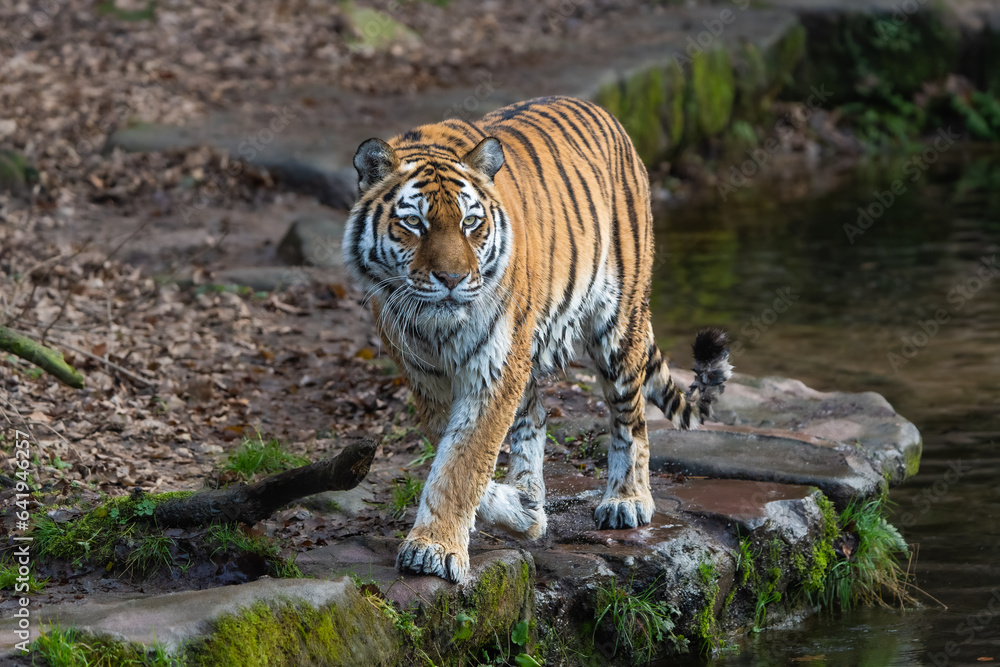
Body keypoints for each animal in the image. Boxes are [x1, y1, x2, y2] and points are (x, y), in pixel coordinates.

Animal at [343, 96, 732, 583]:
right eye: (414, 223)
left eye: (470, 223)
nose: (452, 279)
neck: (437, 328)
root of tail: (607, 114)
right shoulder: (425, 376)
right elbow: (453, 453)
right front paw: (520, 509)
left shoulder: (493, 368)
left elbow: (464, 461)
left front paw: (434, 547)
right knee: (537, 417)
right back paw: (527, 495)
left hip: (617, 325)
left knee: (631, 419)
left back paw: (626, 500)